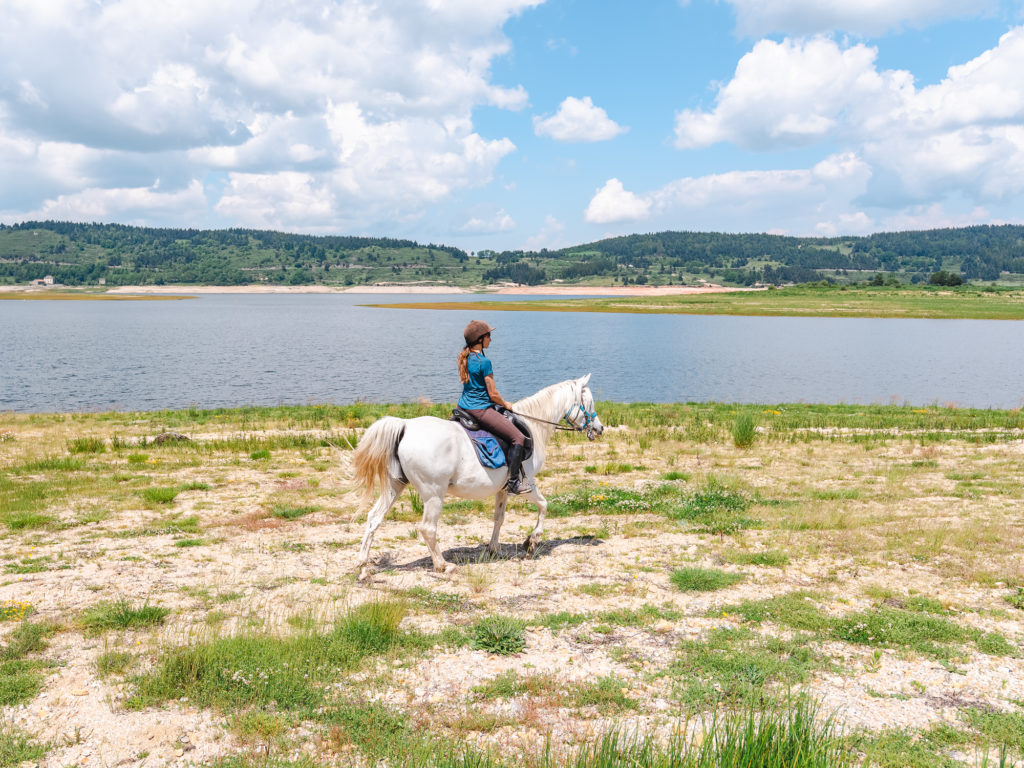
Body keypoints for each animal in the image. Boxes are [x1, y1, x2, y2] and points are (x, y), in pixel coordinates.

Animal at [356, 376, 602, 581]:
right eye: (589, 404)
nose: (599, 429)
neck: (533, 426)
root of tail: (406, 427)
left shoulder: (503, 489)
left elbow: (499, 518)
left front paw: (494, 549)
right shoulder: (528, 484)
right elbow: (544, 506)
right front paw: (531, 543)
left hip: (395, 486)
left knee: (374, 519)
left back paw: (363, 567)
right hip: (433, 494)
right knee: (427, 529)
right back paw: (443, 565)